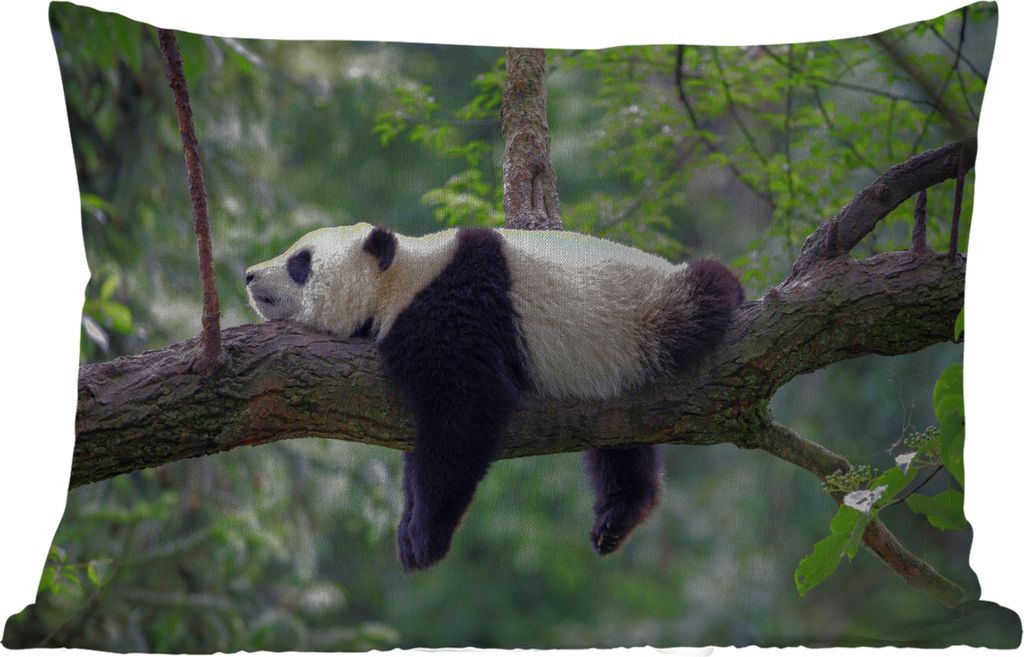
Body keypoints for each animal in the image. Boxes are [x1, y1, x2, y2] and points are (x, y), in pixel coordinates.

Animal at [245, 223, 743, 570]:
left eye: (300, 262)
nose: (249, 275)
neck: (402, 277)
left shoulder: (454, 309)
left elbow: (464, 415)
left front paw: (424, 538)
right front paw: (407, 527)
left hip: (647, 313)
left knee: (705, 292)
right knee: (620, 442)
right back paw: (617, 516)